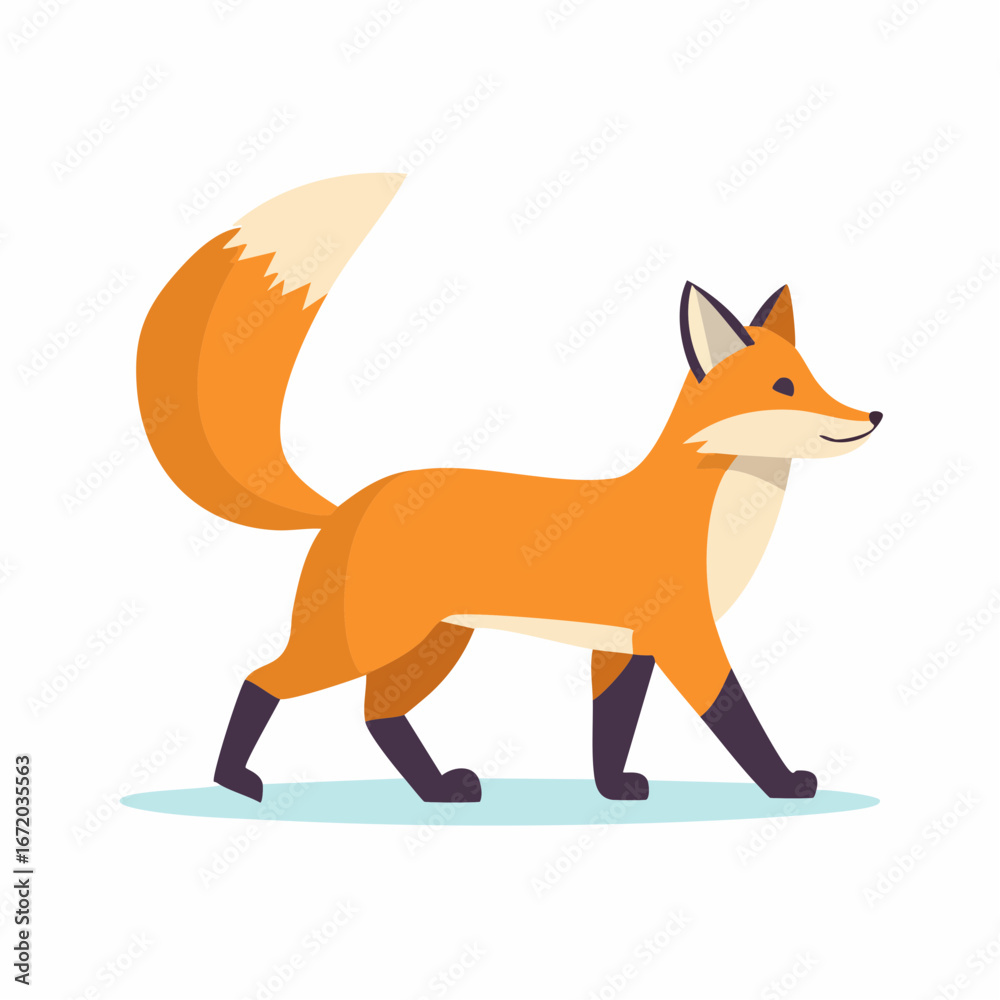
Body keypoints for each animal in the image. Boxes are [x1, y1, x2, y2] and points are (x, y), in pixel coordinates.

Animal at [136, 173, 881, 805]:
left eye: (814, 378)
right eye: (784, 388)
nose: (872, 415)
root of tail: (349, 502)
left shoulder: (624, 647)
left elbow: (610, 731)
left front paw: (614, 791)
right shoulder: (685, 636)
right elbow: (737, 722)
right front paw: (782, 783)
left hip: (432, 644)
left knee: (379, 714)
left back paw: (437, 789)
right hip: (368, 642)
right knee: (264, 679)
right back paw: (235, 780)